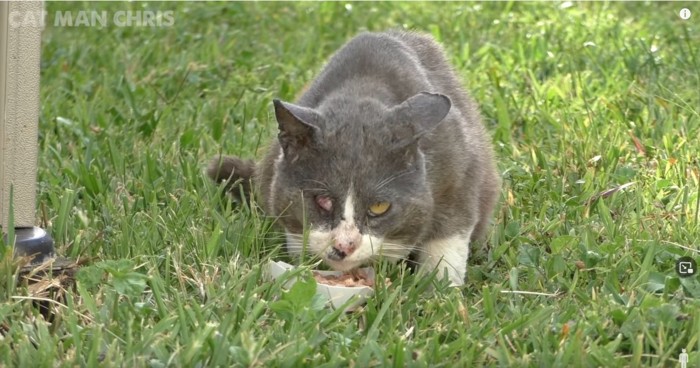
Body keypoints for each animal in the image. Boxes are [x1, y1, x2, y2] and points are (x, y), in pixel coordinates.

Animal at [208, 30, 498, 286]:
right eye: (322, 200)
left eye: (379, 206)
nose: (344, 245)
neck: (362, 93)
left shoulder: (458, 170)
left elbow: (449, 235)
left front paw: (438, 291)